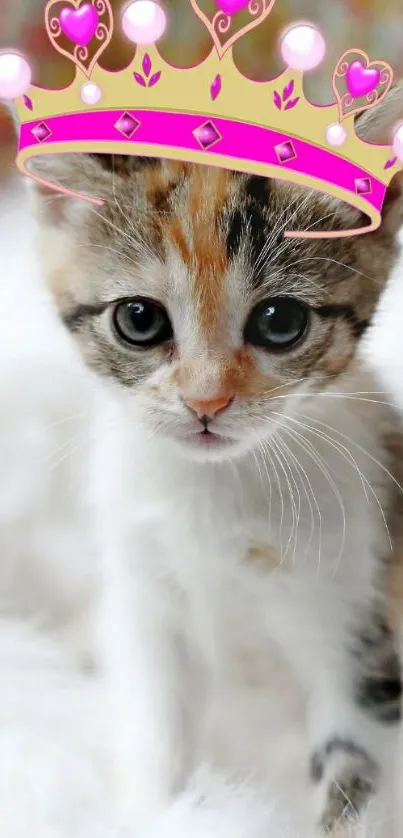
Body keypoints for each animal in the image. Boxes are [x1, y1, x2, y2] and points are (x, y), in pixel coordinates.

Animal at [22, 85, 403, 832]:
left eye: (280, 323)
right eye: (138, 320)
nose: (206, 401)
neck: (216, 493)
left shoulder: (358, 613)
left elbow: (355, 774)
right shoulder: (143, 595)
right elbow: (153, 722)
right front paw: (153, 811)